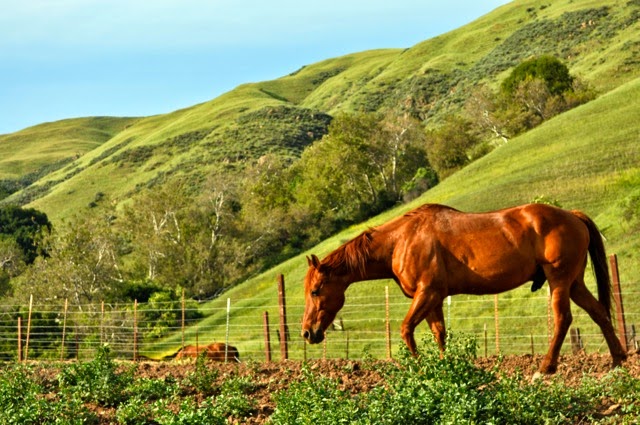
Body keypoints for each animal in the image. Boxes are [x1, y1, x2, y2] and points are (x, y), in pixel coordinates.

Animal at [302, 202, 628, 372]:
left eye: (316, 291)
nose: (307, 332)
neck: (401, 240)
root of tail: (573, 216)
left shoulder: (427, 293)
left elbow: (406, 329)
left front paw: (419, 366)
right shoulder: (434, 299)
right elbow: (439, 333)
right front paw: (447, 366)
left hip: (559, 280)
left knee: (563, 319)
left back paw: (546, 367)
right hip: (574, 282)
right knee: (599, 313)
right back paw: (618, 360)